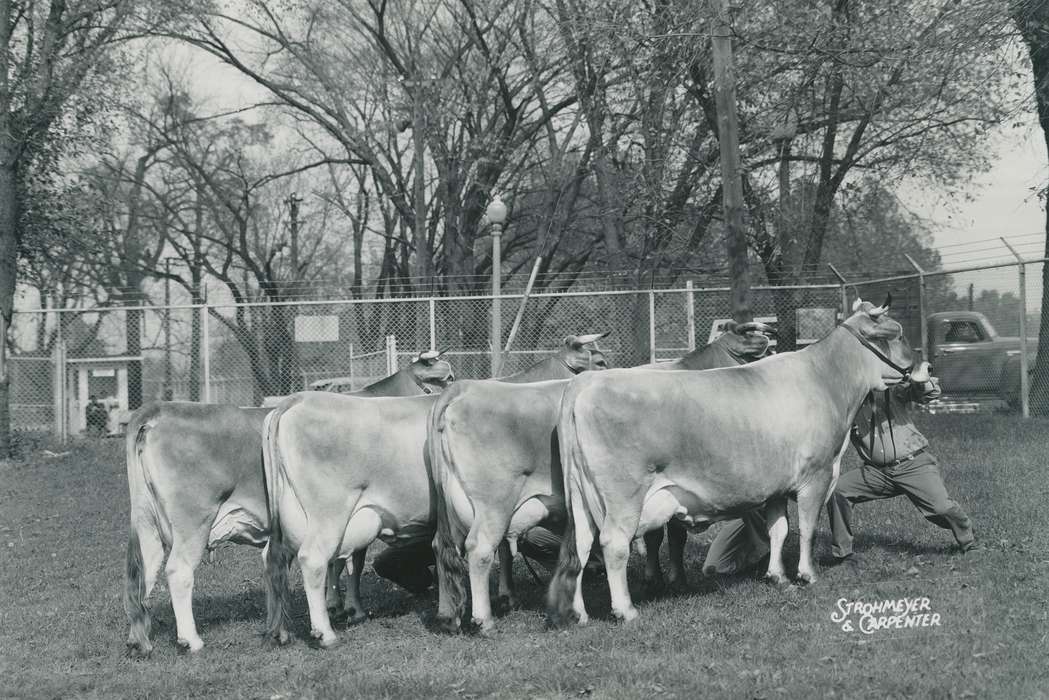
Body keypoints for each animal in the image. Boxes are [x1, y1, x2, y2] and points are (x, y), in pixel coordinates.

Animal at [123, 351, 453, 658]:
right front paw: (350, 609)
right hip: (194, 520)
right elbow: (351, 563)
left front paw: (334, 605)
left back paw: (140, 641)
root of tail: (157, 409)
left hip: (147, 522)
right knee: (178, 571)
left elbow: (336, 562)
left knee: (145, 574)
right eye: (446, 377)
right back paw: (191, 641)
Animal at [260, 333, 609, 648]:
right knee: (316, 560)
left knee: (282, 560)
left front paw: (504, 596)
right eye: (602, 362)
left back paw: (286, 628)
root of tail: (294, 401)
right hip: (330, 513)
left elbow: (498, 551)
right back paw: (327, 632)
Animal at [429, 322, 772, 633]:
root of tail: (462, 389)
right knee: (480, 548)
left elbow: (657, 536)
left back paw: (453, 613)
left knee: (446, 548)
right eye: (602, 361)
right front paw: (671, 580)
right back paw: (484, 619)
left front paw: (656, 577)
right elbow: (672, 535)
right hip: (492, 502)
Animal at [546, 297, 919, 627]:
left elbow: (780, 530)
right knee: (613, 544)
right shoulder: (817, 475)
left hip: (581, 496)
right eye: (897, 333)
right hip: (624, 496)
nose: (924, 367)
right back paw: (626, 610)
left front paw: (778, 576)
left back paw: (580, 614)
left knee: (581, 546)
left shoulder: (776, 487)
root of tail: (585, 382)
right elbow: (808, 528)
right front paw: (808, 575)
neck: (824, 380)